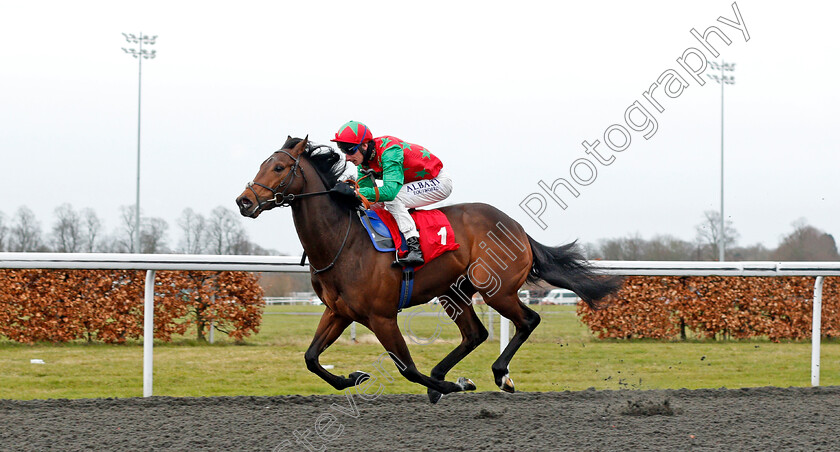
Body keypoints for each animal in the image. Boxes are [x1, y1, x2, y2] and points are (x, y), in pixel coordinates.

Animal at [236, 137, 624, 402]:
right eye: (262, 164)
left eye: (279, 168)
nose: (244, 201)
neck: (342, 242)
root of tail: (516, 227)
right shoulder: (338, 312)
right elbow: (311, 358)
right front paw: (354, 377)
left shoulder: (381, 316)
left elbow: (407, 368)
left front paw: (451, 385)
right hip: (454, 292)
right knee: (475, 334)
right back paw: (450, 373)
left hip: (496, 288)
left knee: (528, 320)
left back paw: (499, 376)